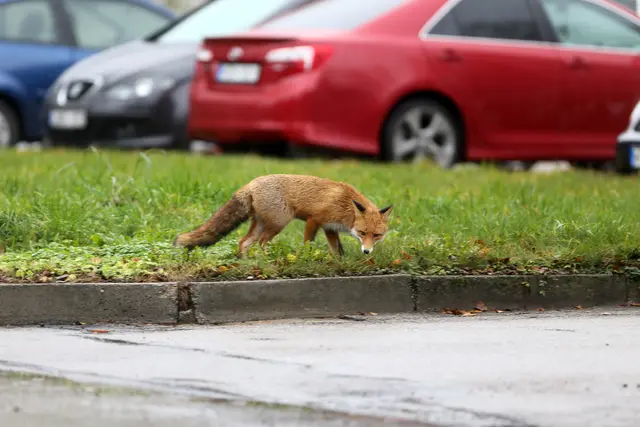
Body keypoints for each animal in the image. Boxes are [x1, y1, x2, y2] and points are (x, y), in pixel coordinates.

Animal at [172, 174, 393, 257]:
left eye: (377, 235)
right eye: (363, 233)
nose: (367, 252)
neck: (345, 206)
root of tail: (251, 183)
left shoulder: (330, 228)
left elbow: (337, 250)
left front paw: (339, 262)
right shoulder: (315, 220)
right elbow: (308, 244)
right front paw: (307, 258)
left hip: (261, 224)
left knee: (244, 242)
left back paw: (246, 261)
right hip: (279, 223)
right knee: (261, 243)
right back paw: (267, 259)